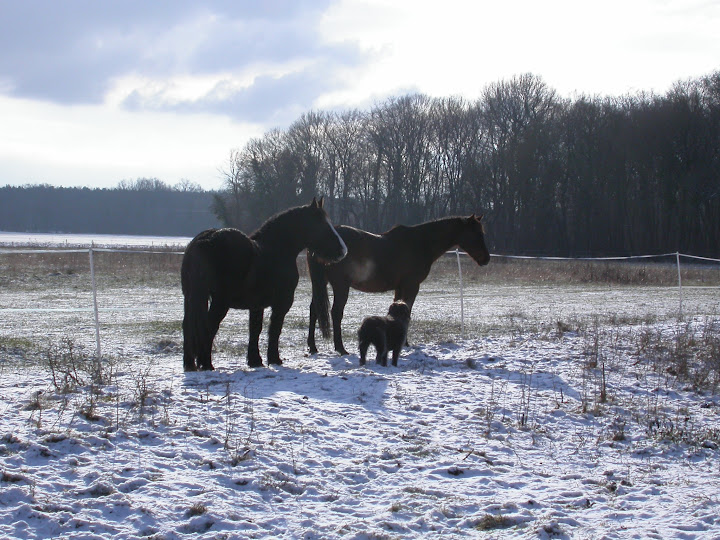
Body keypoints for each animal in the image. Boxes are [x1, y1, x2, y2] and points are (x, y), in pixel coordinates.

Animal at [181, 198, 348, 372]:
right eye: (322, 224)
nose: (342, 251)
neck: (277, 251)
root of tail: (206, 239)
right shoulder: (281, 303)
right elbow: (274, 329)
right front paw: (274, 359)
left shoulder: (256, 305)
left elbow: (255, 329)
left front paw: (255, 360)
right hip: (220, 302)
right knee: (208, 325)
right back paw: (206, 363)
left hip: (190, 298)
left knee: (188, 325)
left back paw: (190, 364)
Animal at [306, 213, 492, 356]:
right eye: (476, 233)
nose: (486, 259)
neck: (421, 242)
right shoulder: (412, 286)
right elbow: (407, 311)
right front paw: (405, 342)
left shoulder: (400, 287)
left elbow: (398, 310)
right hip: (340, 286)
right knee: (336, 313)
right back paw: (341, 348)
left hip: (321, 283)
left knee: (315, 309)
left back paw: (313, 347)